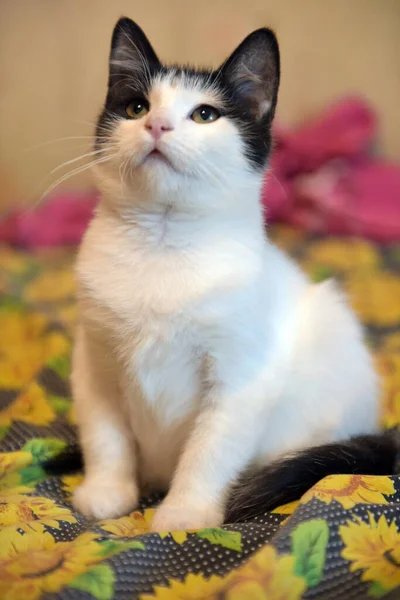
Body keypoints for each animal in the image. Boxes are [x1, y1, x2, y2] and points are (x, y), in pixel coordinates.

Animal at [67, 17, 396, 528]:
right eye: (136, 106)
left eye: (205, 115)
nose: (156, 125)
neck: (163, 243)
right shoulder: (94, 362)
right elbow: (106, 435)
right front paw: (108, 492)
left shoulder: (241, 377)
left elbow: (210, 449)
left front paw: (184, 514)